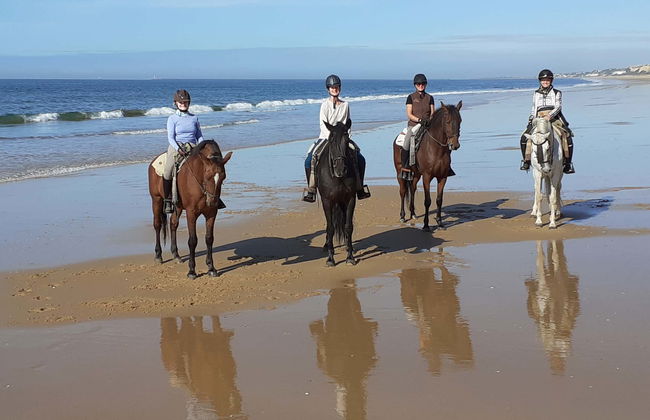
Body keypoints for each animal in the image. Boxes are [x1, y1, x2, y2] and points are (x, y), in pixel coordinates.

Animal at [148, 140, 233, 278]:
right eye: (207, 176)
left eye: (223, 177)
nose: (213, 201)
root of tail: (153, 161)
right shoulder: (191, 213)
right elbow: (192, 240)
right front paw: (192, 271)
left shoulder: (211, 213)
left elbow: (209, 238)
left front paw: (211, 268)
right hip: (156, 200)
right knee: (157, 225)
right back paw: (158, 255)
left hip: (177, 206)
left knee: (173, 224)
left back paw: (176, 254)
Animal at [315, 119, 358, 266]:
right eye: (331, 141)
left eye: (347, 140)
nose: (340, 170)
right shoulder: (327, 201)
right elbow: (330, 228)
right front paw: (330, 258)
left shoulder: (350, 199)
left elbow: (348, 226)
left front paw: (350, 256)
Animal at [392, 101, 462, 231]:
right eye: (448, 122)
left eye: (460, 121)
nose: (455, 145)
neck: (436, 149)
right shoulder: (427, 177)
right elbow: (427, 201)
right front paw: (426, 225)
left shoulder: (442, 177)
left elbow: (439, 200)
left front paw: (440, 222)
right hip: (400, 172)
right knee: (403, 191)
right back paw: (403, 216)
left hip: (416, 174)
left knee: (413, 189)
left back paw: (413, 213)